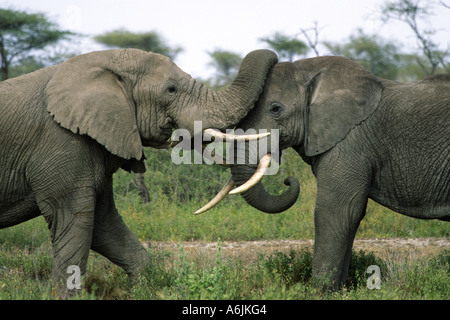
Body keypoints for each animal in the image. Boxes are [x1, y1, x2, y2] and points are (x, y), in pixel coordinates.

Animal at [0, 48, 278, 292]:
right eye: (171, 89)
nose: (276, 58)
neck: (102, 63)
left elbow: (104, 223)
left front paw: (144, 287)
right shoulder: (61, 141)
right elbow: (74, 219)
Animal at [200, 54, 450, 290]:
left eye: (276, 109)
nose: (289, 181)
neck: (308, 70)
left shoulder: (350, 143)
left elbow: (336, 211)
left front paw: (321, 292)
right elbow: (350, 216)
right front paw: (339, 291)